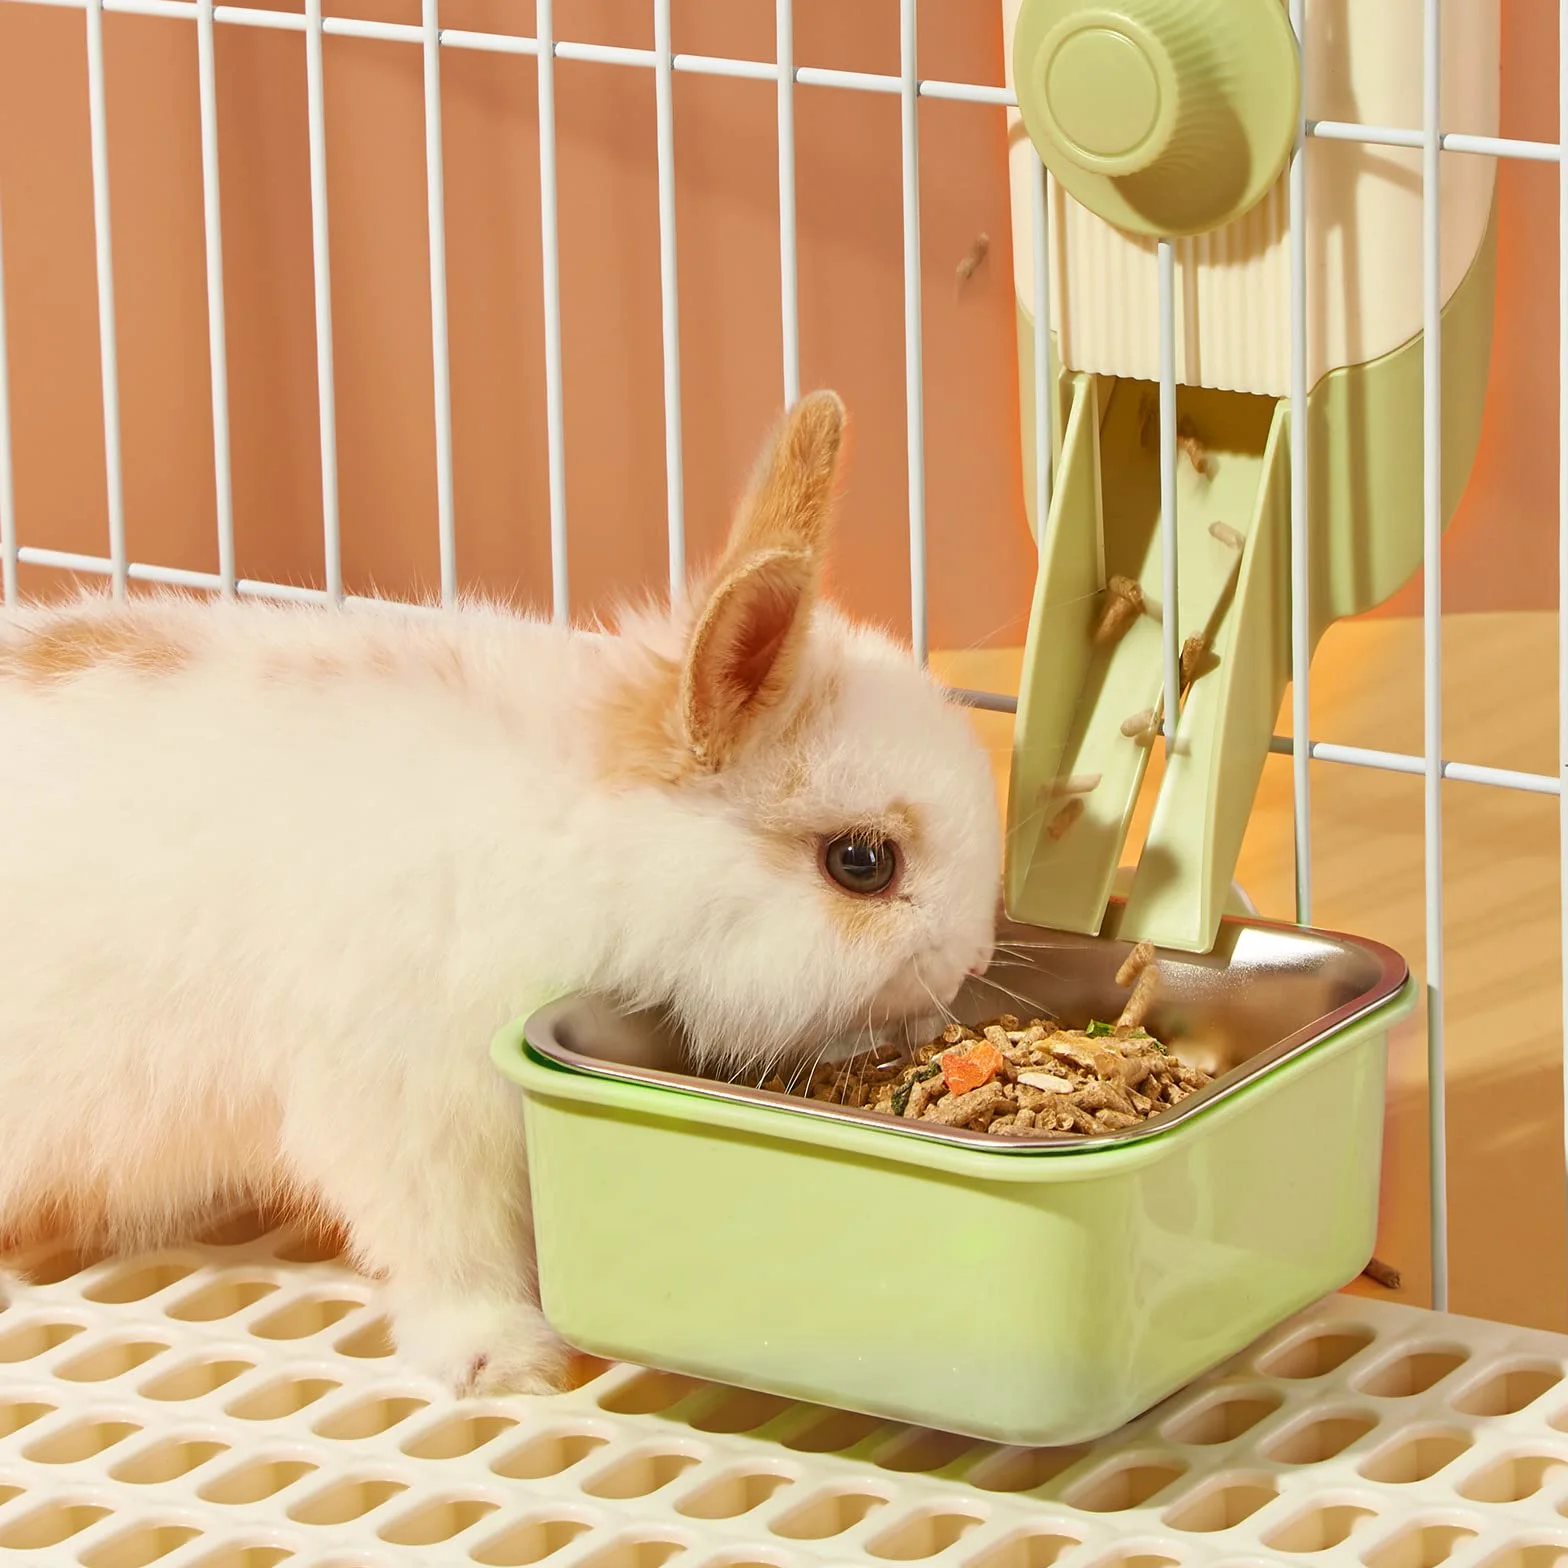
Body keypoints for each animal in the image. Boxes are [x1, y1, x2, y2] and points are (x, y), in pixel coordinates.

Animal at [0, 390, 1001, 1397]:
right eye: (862, 863)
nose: (972, 961)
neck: (581, 846)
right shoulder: (405, 1104)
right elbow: (447, 1245)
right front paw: (506, 1359)